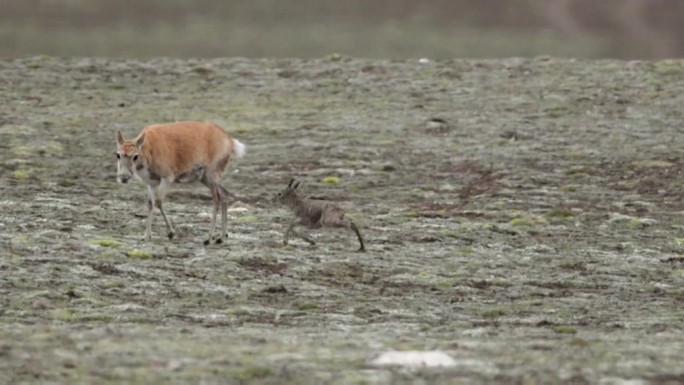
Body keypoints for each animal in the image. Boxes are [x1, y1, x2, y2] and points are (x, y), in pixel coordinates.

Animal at [115, 121, 246, 244]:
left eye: (135, 156)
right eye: (118, 155)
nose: (123, 177)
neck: (149, 149)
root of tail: (229, 140)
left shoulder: (167, 179)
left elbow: (159, 201)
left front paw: (171, 233)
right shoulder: (151, 184)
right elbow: (150, 204)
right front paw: (146, 236)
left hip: (211, 176)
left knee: (216, 200)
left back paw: (208, 238)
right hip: (205, 179)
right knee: (224, 194)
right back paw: (222, 237)